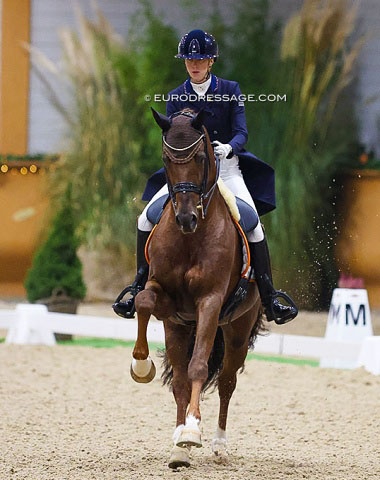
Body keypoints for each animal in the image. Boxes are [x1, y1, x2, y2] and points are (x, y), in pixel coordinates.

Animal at [131, 109, 264, 468]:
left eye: (202, 157)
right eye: (166, 159)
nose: (186, 218)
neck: (190, 239)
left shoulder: (210, 301)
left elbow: (200, 367)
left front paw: (193, 430)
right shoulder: (166, 299)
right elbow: (143, 301)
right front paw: (141, 366)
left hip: (236, 330)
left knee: (227, 381)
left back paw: (216, 443)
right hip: (178, 326)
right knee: (179, 378)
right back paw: (178, 446)